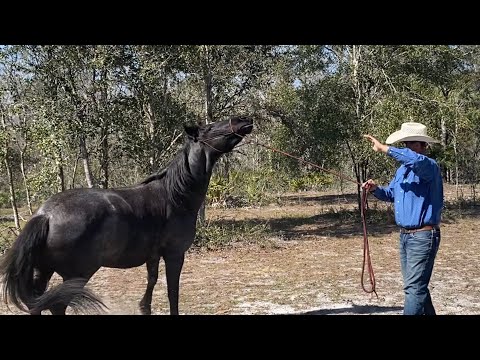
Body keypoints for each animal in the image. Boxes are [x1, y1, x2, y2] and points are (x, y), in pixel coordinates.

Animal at [0, 116, 253, 316]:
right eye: (209, 127)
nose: (243, 120)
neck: (174, 195)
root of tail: (46, 215)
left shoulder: (153, 256)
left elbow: (152, 283)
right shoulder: (175, 254)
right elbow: (173, 293)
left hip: (43, 271)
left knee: (37, 304)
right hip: (76, 275)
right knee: (56, 305)